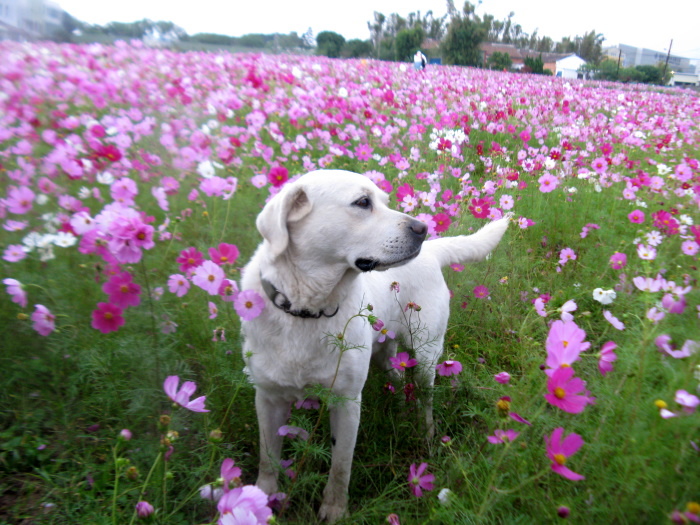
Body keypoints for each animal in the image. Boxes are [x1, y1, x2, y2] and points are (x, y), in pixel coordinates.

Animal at [241, 171, 508, 520]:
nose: (423, 228)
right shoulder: (268, 399)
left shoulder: (346, 402)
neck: (307, 309)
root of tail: (433, 251)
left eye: (385, 200)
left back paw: (426, 435)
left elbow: (341, 465)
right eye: (362, 202)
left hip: (426, 356)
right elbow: (268, 458)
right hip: (384, 354)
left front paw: (334, 509)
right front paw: (259, 501)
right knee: (397, 377)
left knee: (425, 401)